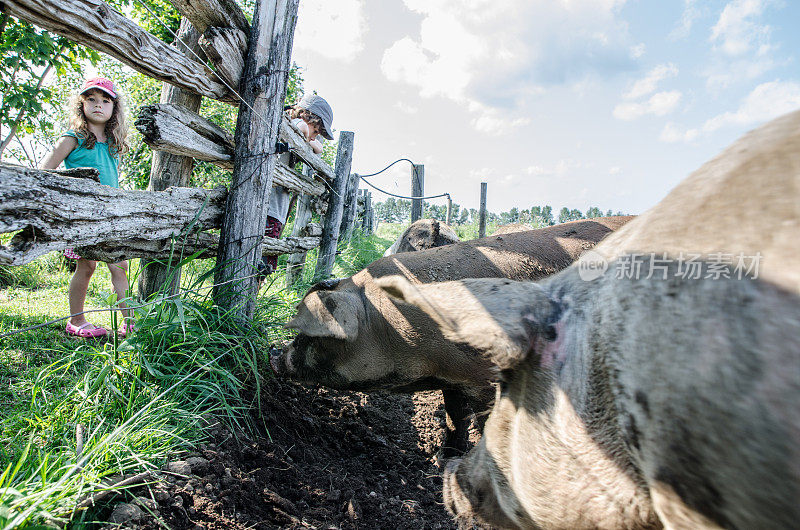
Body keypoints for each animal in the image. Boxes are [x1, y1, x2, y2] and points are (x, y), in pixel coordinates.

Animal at [272, 214, 636, 458]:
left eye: (313, 335)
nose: (274, 357)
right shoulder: (453, 376)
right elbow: (454, 414)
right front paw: (442, 457)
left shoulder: (485, 375)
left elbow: (486, 420)